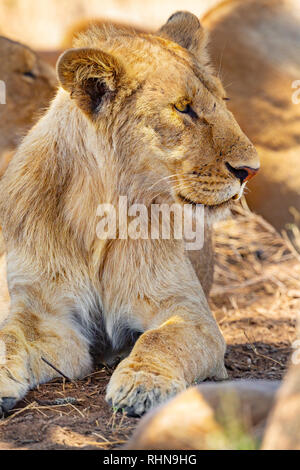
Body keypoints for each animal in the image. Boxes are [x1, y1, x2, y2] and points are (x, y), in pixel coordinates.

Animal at [0, 11, 258, 416]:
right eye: (182, 108)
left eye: (223, 101)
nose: (250, 170)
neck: (100, 210)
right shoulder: (46, 316)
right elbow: (10, 336)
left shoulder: (190, 311)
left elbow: (161, 340)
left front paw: (142, 384)